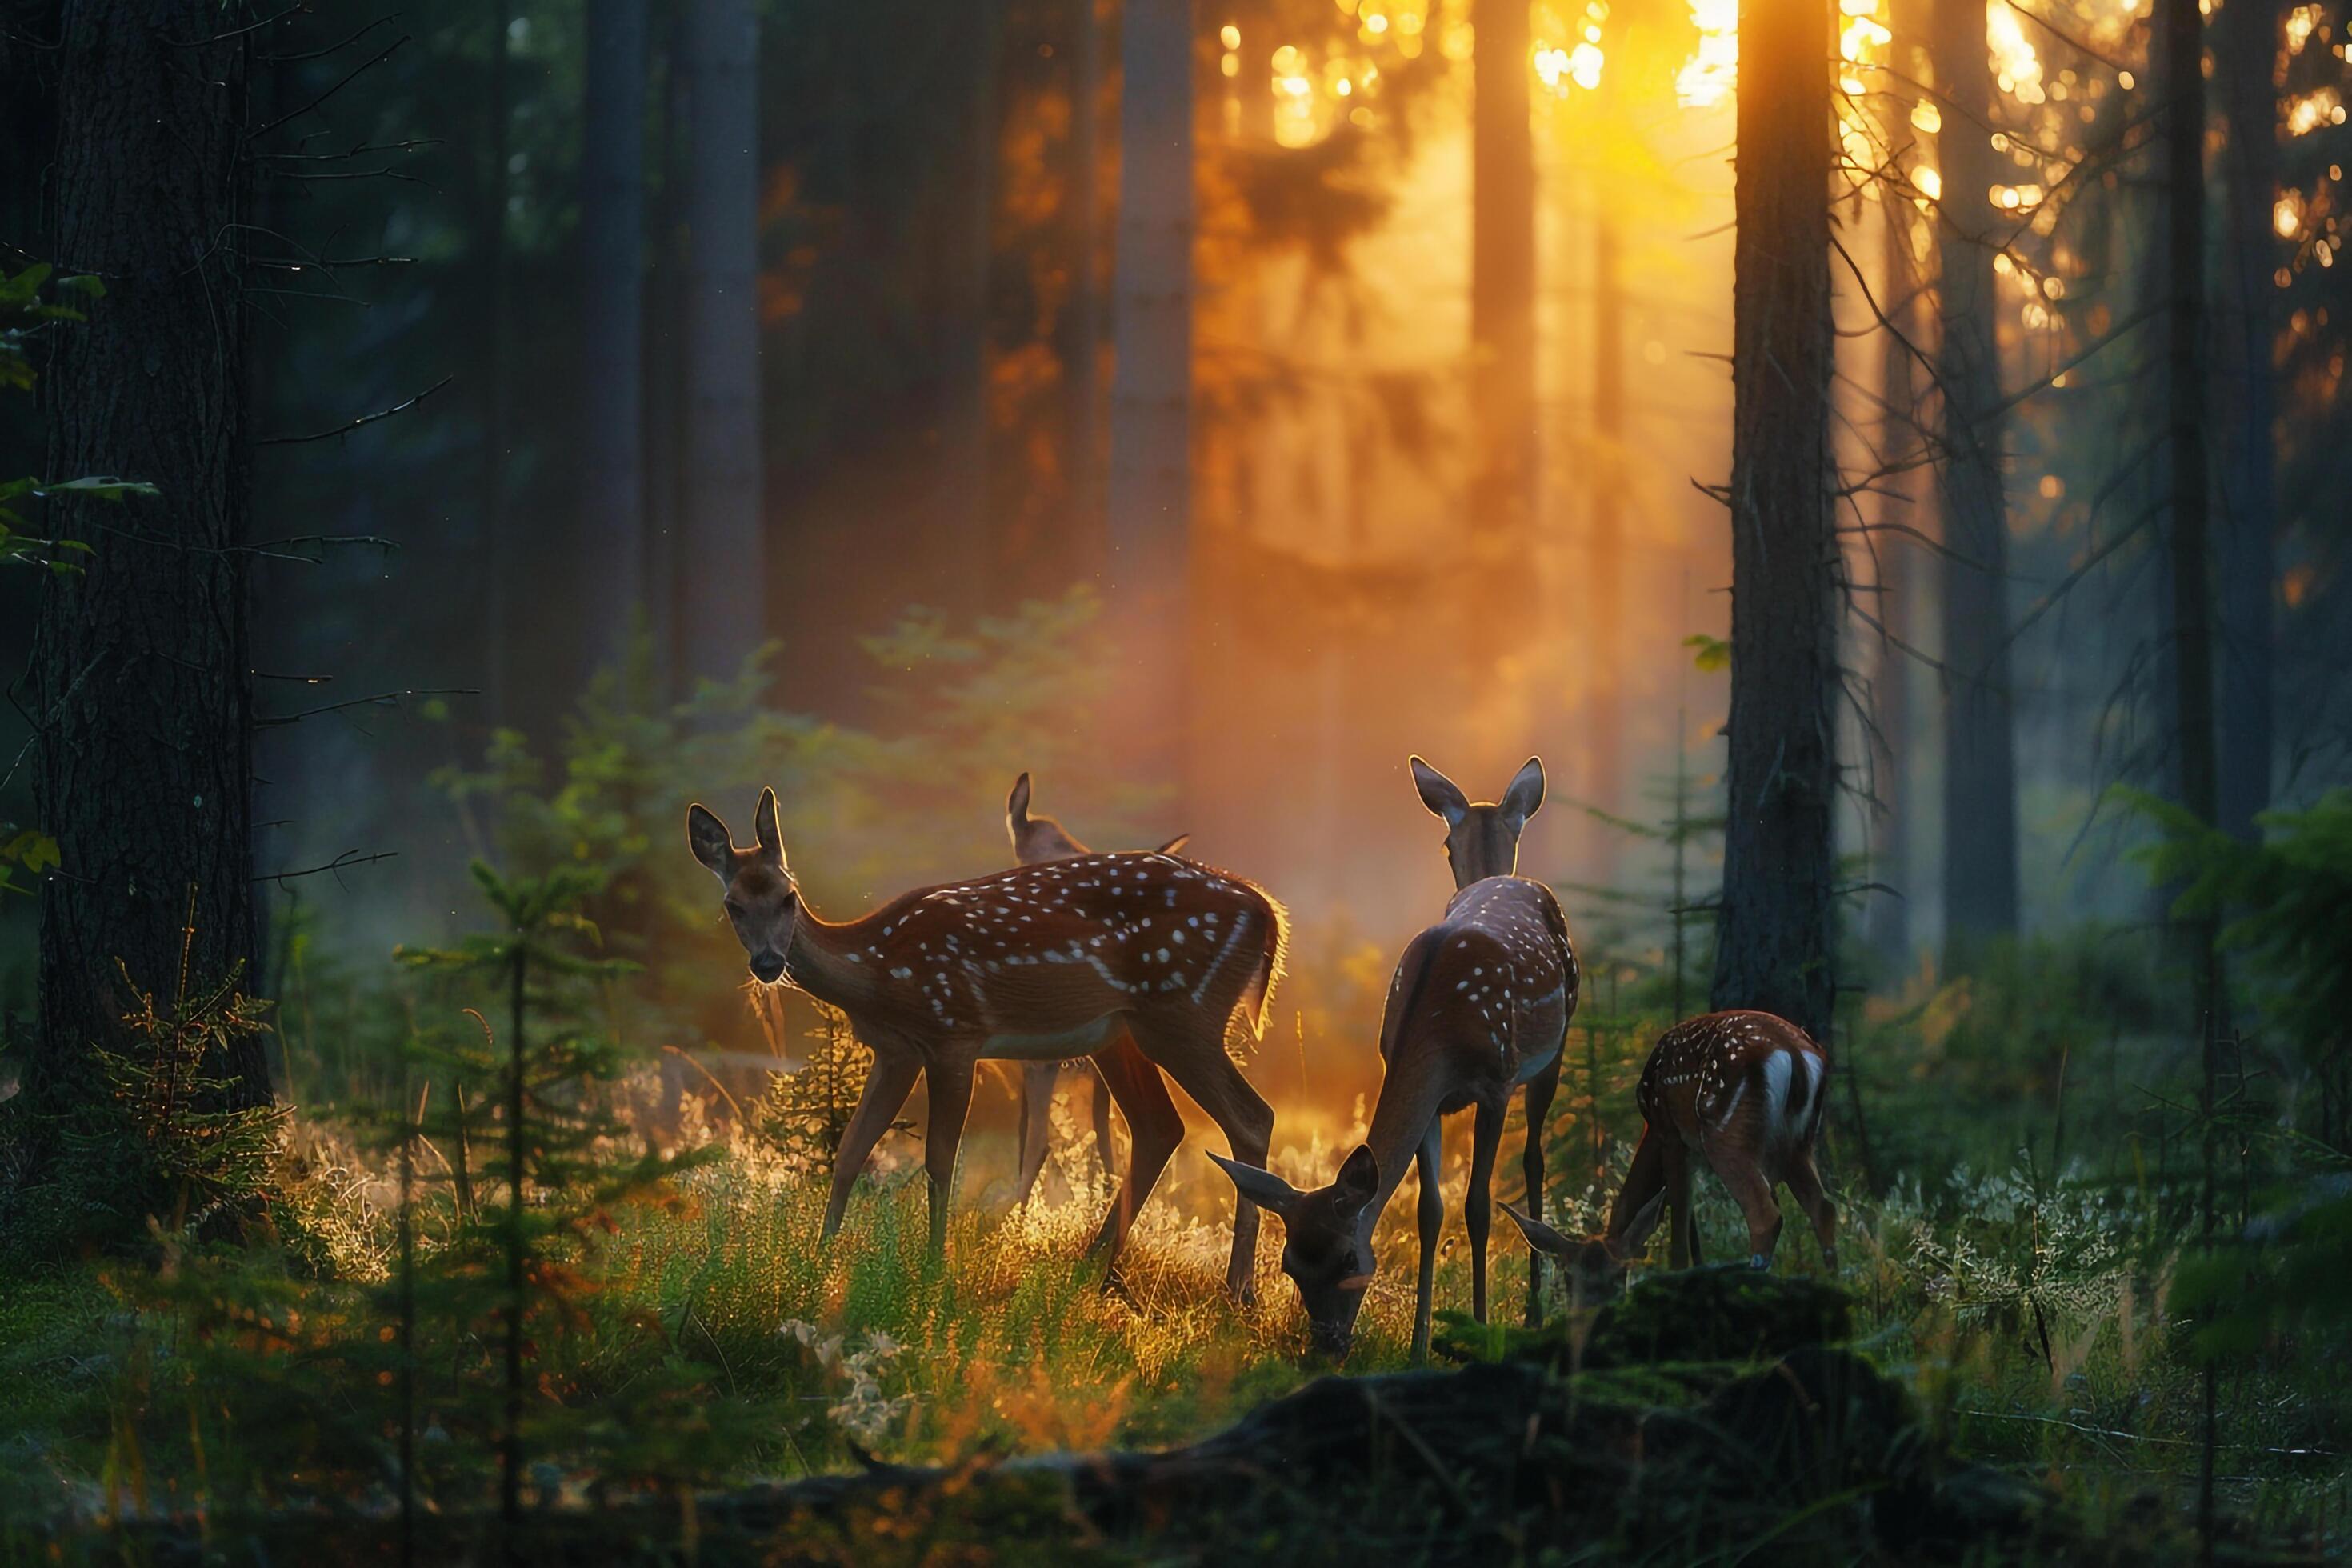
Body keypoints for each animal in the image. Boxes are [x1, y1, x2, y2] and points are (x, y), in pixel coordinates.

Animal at [1204, 757, 1570, 1363]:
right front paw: (1420, 1345)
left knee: (1536, 1160)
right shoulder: (1425, 1091)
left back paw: (1537, 1312)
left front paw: (1477, 1332)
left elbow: (1478, 1206)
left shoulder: (1495, 1083)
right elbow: (1430, 1211)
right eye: (1289, 1265)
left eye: (1349, 1258)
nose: (1326, 1345)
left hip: (1556, 1049)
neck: (1440, 1026)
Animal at [1495, 1010, 1843, 1298]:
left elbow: (1677, 1232)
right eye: (1571, 1278)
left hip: (1727, 1134)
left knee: (1765, 1215)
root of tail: (1796, 1055)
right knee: (1824, 1209)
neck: (1648, 1125)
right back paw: (1835, 1287)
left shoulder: (1671, 1134)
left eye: (1619, 1274)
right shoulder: (1689, 1148)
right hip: (1799, 1143)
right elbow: (1690, 1226)